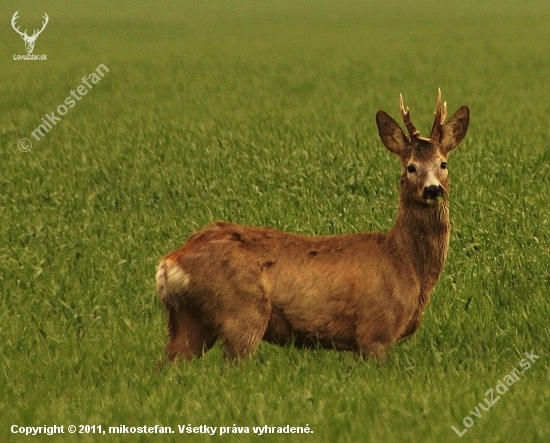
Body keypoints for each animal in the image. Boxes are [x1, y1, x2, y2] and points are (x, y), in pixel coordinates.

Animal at [155, 89, 470, 360]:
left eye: (443, 164)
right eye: (411, 167)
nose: (433, 189)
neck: (404, 262)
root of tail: (169, 263)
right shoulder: (375, 331)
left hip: (189, 322)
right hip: (241, 313)